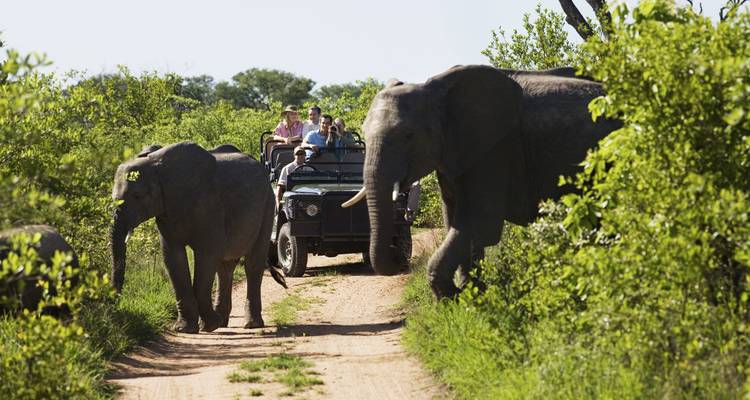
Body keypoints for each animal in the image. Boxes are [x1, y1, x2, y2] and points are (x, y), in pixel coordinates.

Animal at [110, 142, 286, 334]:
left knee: (252, 264)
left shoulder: (208, 205)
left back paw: (250, 324)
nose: (115, 305)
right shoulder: (167, 210)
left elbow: (207, 255)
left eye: (137, 196)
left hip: (268, 205)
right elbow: (173, 258)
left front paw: (208, 325)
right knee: (225, 267)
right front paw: (184, 329)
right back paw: (222, 322)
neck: (157, 166)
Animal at [343, 65, 621, 298]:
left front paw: (454, 297)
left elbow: (478, 224)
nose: (397, 256)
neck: (436, 94)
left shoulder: (494, 151)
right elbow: (454, 221)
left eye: (409, 136)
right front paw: (473, 294)